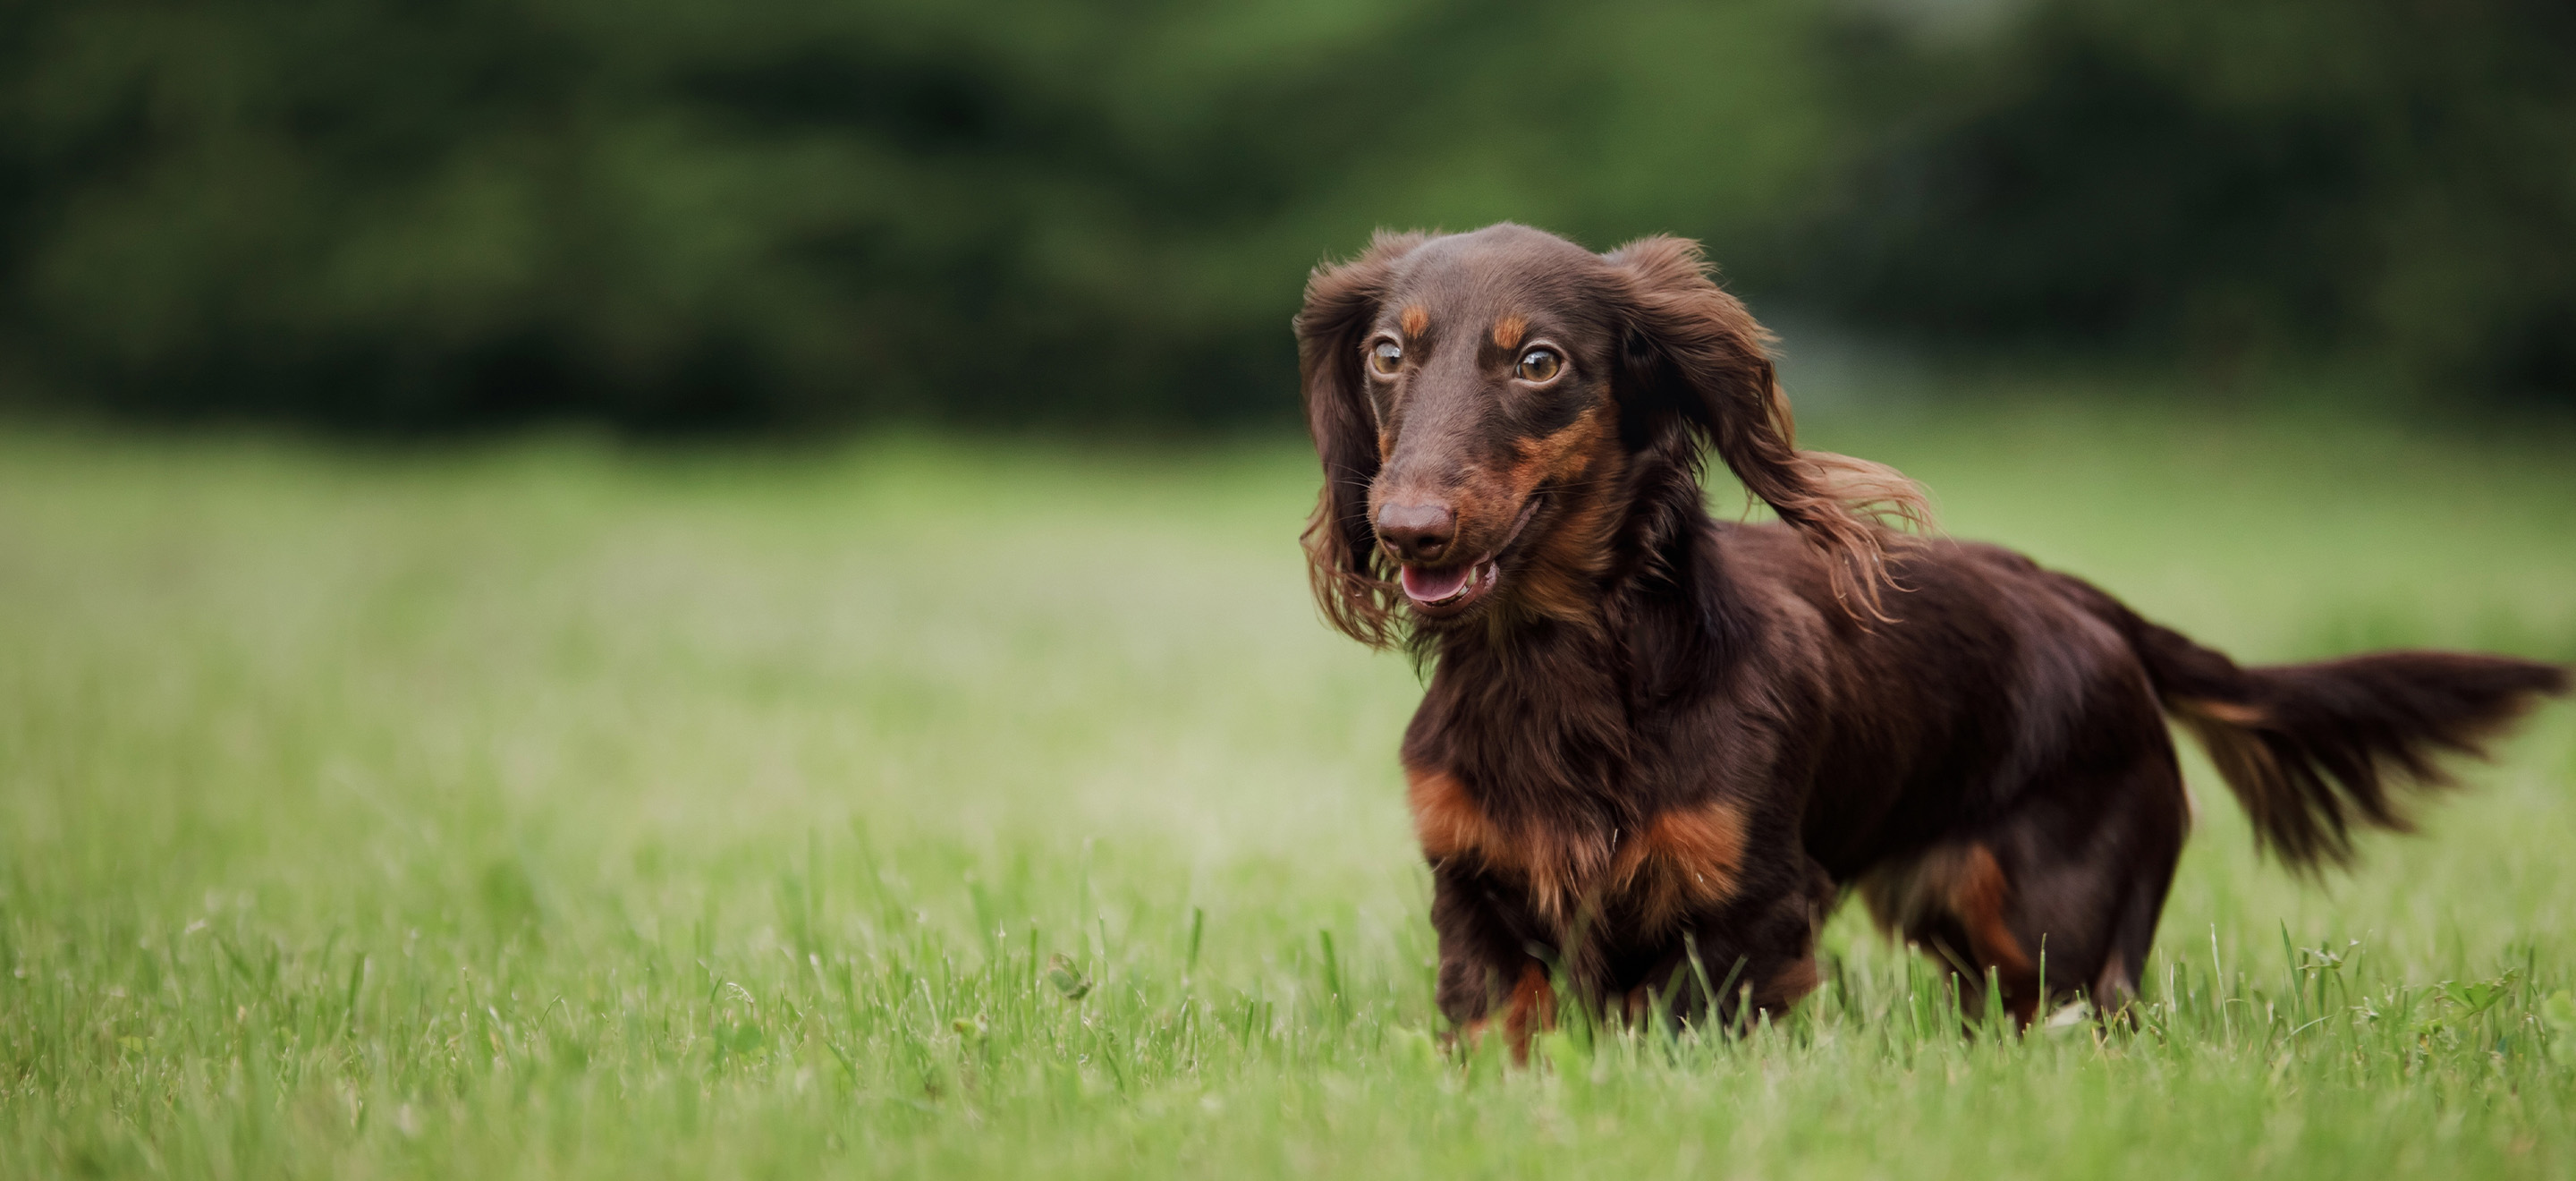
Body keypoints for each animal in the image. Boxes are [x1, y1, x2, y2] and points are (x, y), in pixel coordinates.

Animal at [1298, 224, 2565, 1051]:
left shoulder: (1750, 908)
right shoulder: (1474, 894)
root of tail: (2082, 600)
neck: (1562, 668)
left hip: (2057, 934)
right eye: (1389, 355)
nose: (1406, 529)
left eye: (1539, 361)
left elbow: (1687, 1028)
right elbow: (1501, 1033)